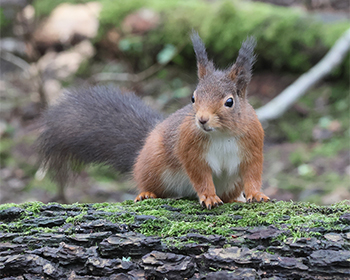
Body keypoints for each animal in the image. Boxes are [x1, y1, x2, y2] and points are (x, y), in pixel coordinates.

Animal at [37, 32, 268, 208]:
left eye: (229, 102)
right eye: (193, 98)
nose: (202, 120)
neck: (221, 134)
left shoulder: (252, 145)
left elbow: (253, 173)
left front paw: (256, 194)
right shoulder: (189, 148)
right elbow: (200, 176)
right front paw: (209, 197)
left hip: (231, 183)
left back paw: (235, 199)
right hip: (153, 165)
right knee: (150, 184)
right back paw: (147, 193)